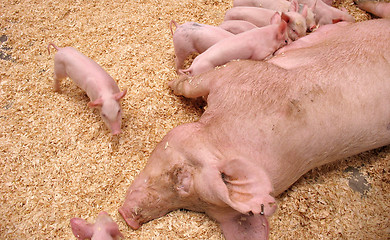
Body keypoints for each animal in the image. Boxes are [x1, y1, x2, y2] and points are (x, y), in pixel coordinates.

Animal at [119, 19, 390, 240]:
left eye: (183, 183)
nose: (127, 217)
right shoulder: (237, 74)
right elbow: (192, 85)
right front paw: (172, 83)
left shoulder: (238, 76)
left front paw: (172, 83)